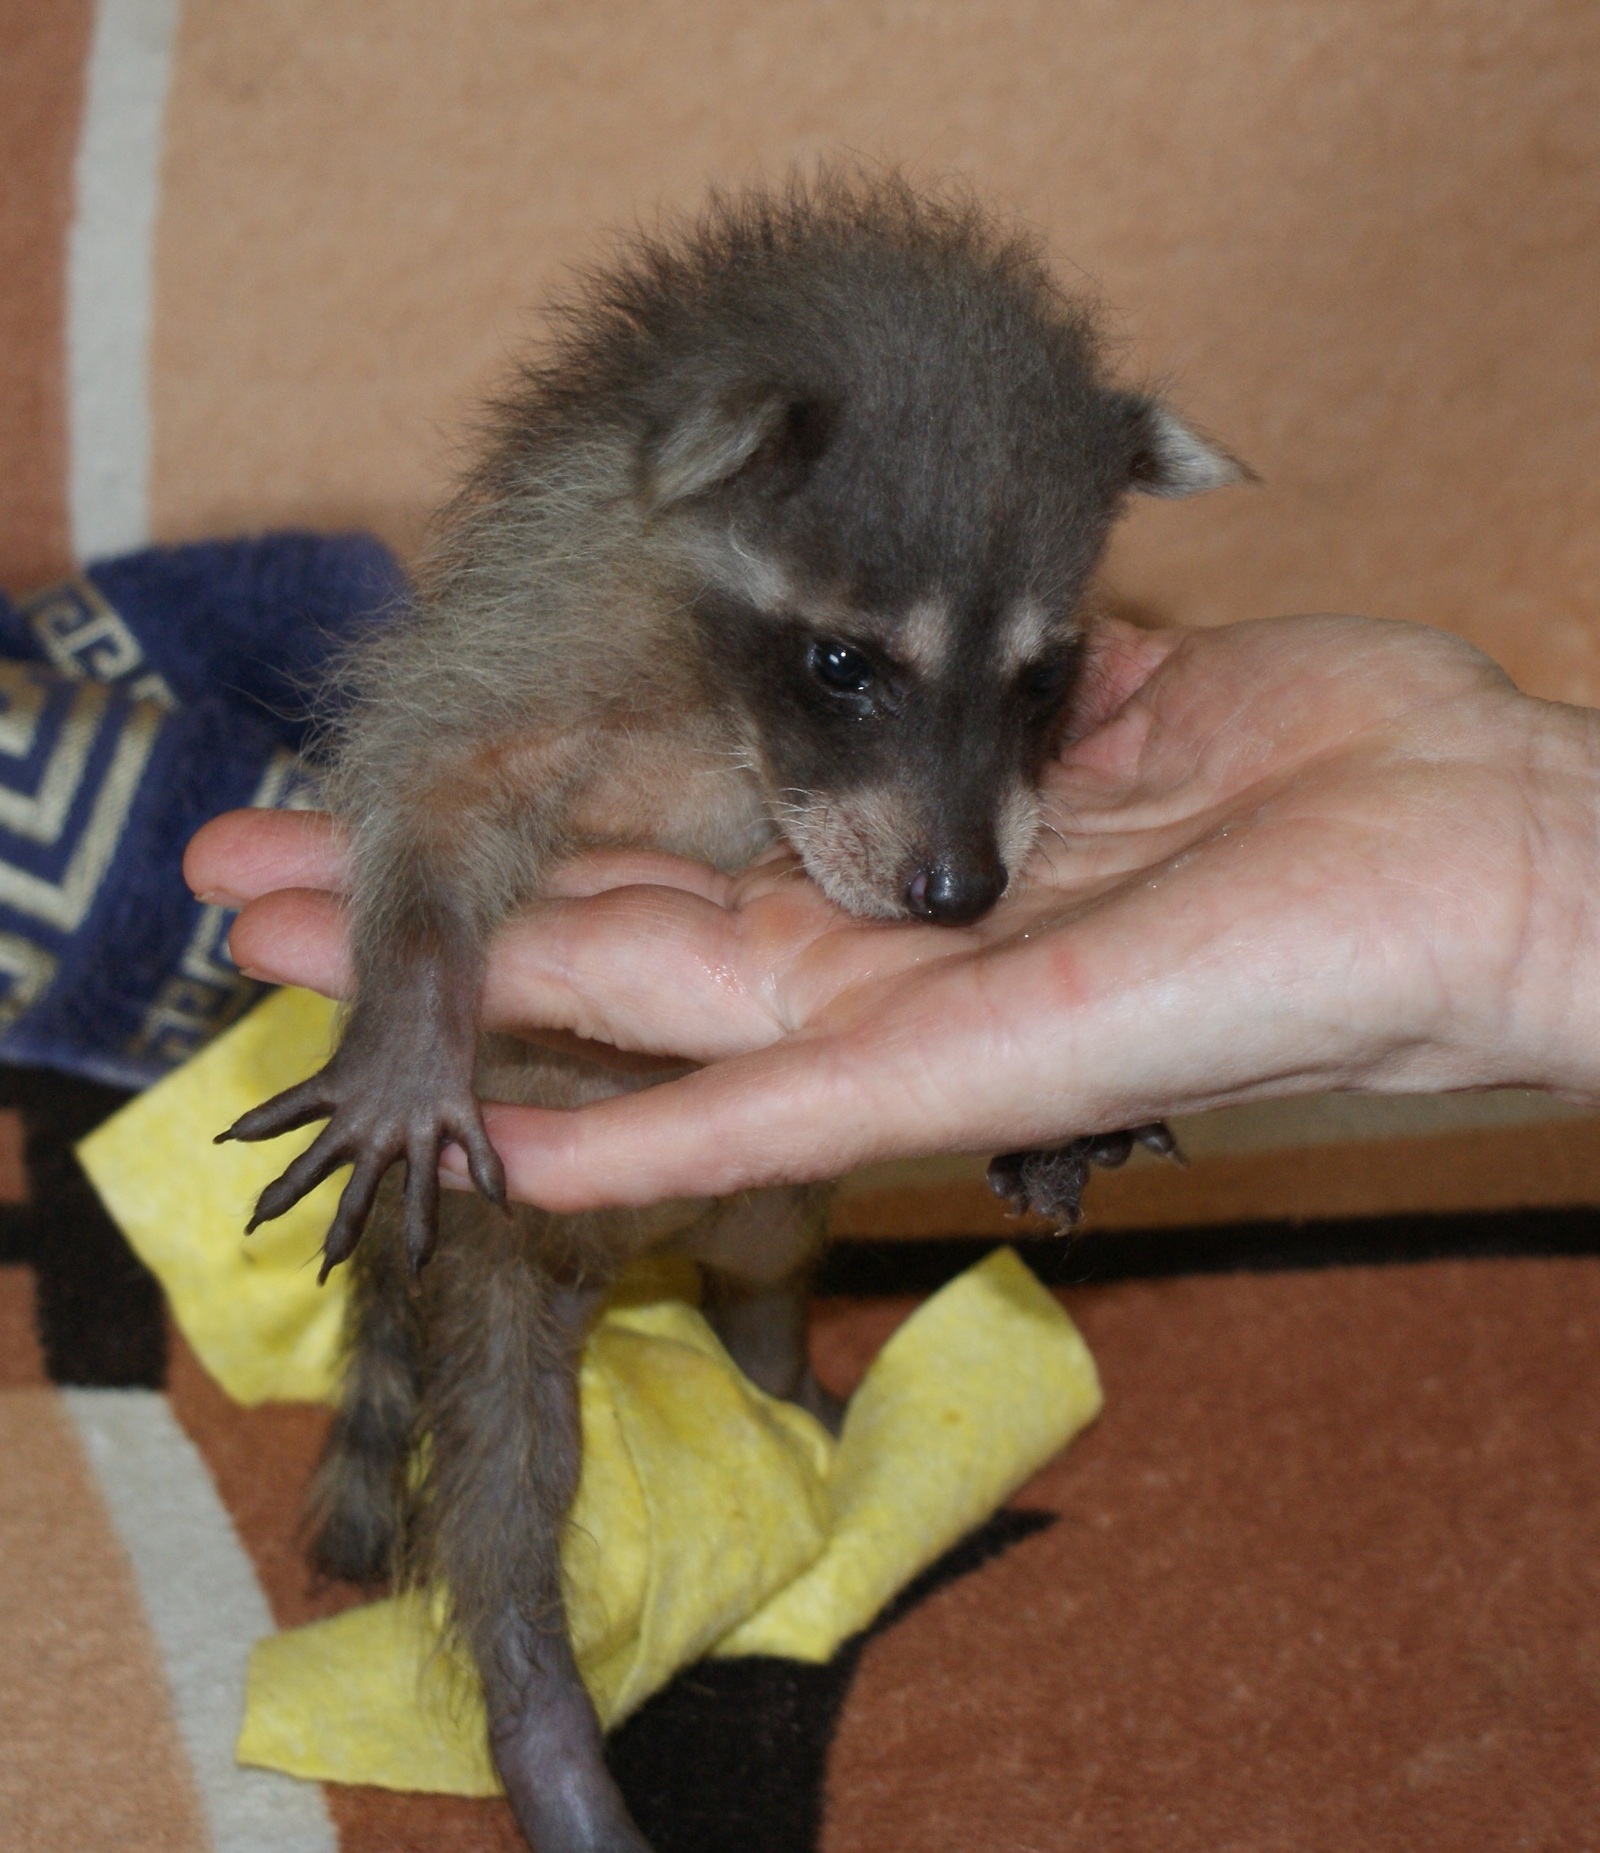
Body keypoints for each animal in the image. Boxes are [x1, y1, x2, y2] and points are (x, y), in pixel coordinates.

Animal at [222, 174, 1253, 1853]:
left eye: (1044, 678)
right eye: (846, 661)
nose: (962, 894)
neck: (730, 711)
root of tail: (626, 1255)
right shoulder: (547, 607)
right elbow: (427, 785)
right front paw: (414, 1006)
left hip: (756, 1188)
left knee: (765, 1263)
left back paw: (778, 1378)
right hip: (495, 1237)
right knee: (507, 1482)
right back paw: (545, 1719)